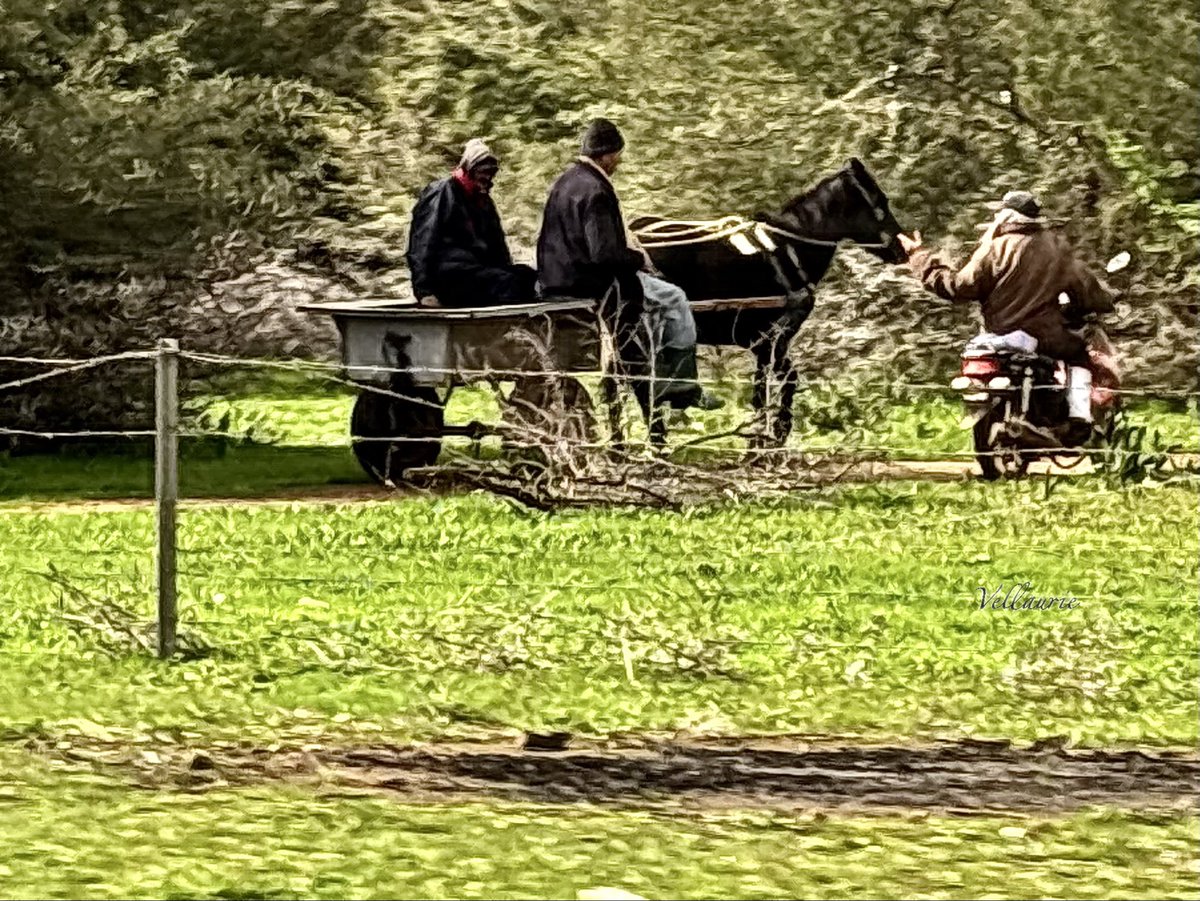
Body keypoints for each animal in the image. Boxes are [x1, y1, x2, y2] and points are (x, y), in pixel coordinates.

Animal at [631, 157, 907, 444]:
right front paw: (772, 432)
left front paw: (769, 433)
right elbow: (775, 385)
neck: (790, 251)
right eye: (879, 202)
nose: (902, 250)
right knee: (642, 387)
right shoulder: (769, 338)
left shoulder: (765, 343)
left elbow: (773, 385)